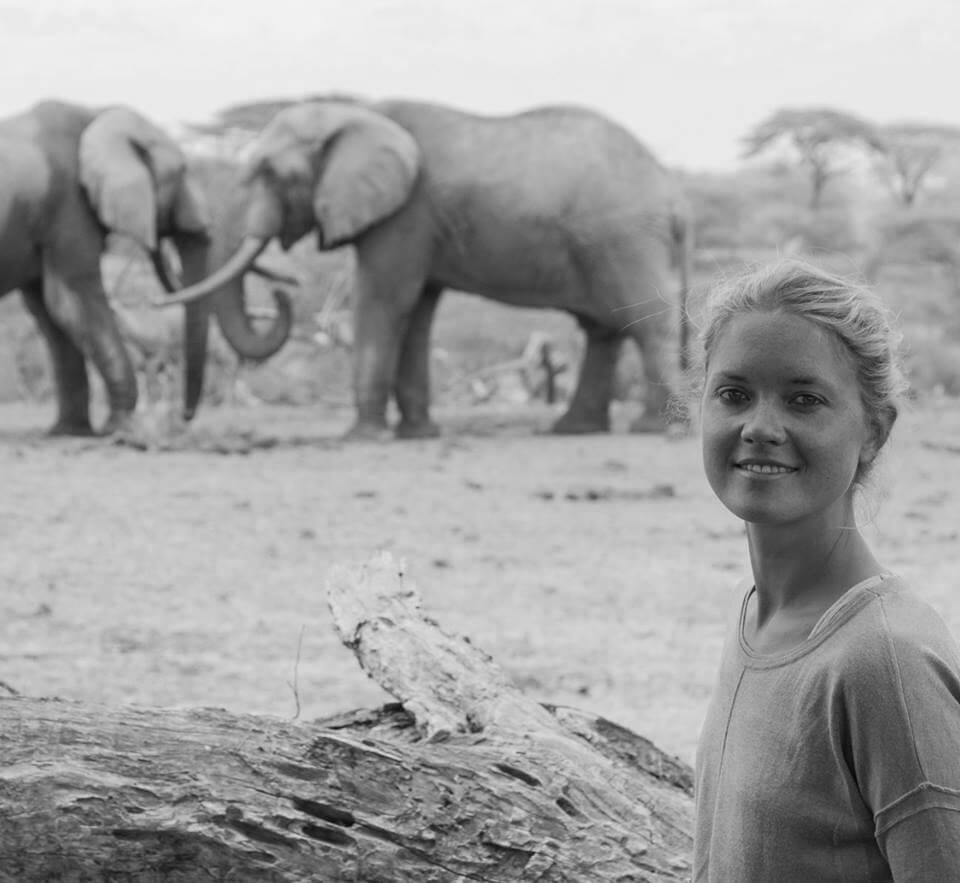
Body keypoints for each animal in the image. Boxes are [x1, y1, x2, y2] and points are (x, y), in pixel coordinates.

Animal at [0, 100, 292, 435]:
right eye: (182, 171)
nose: (183, 418)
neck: (96, 116)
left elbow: (52, 316)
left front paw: (71, 431)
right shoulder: (68, 211)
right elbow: (73, 304)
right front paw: (120, 426)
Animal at [162, 98, 692, 439]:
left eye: (271, 174)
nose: (282, 292)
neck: (356, 113)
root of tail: (672, 191)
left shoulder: (405, 215)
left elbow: (383, 300)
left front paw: (362, 437)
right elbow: (416, 313)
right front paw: (418, 434)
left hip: (623, 235)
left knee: (644, 321)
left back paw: (656, 430)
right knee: (605, 328)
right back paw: (574, 430)